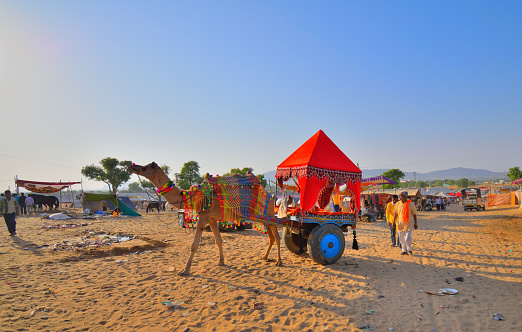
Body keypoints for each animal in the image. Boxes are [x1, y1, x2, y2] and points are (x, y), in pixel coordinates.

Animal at [126, 162, 280, 276]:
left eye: (145, 167)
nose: (131, 167)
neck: (193, 197)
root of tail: (270, 195)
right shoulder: (211, 219)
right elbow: (218, 241)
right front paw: (221, 262)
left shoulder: (203, 217)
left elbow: (194, 245)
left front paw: (185, 270)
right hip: (263, 216)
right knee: (271, 236)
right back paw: (265, 257)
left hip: (269, 214)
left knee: (277, 236)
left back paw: (279, 261)